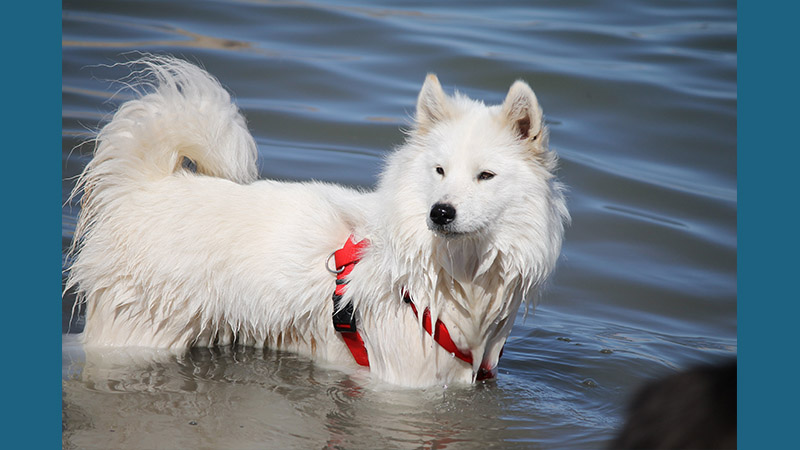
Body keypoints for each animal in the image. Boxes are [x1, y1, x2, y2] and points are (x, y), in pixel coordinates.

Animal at [67, 56, 568, 386]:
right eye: (440, 170)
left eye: (486, 175)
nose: (440, 212)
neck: (453, 275)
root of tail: (142, 185)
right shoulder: (403, 382)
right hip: (141, 332)